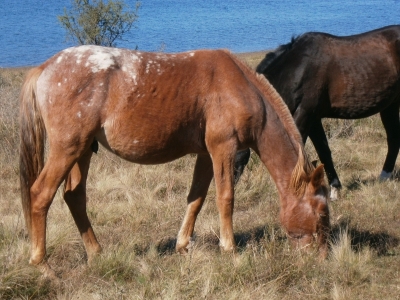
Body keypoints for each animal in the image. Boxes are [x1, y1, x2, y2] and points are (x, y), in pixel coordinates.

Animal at [19, 45, 328, 278]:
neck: (240, 86)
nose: (321, 258)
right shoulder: (223, 149)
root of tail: (45, 68)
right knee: (40, 195)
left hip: (82, 151)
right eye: (322, 213)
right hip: (67, 149)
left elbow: (196, 199)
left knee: (74, 197)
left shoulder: (205, 154)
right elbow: (225, 198)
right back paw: (42, 265)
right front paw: (229, 249)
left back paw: (96, 253)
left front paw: (182, 246)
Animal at [236, 25, 400, 199]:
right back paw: (384, 178)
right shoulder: (313, 120)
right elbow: (324, 151)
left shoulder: (304, 115)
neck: (297, 69)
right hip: (390, 104)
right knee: (393, 138)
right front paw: (335, 189)